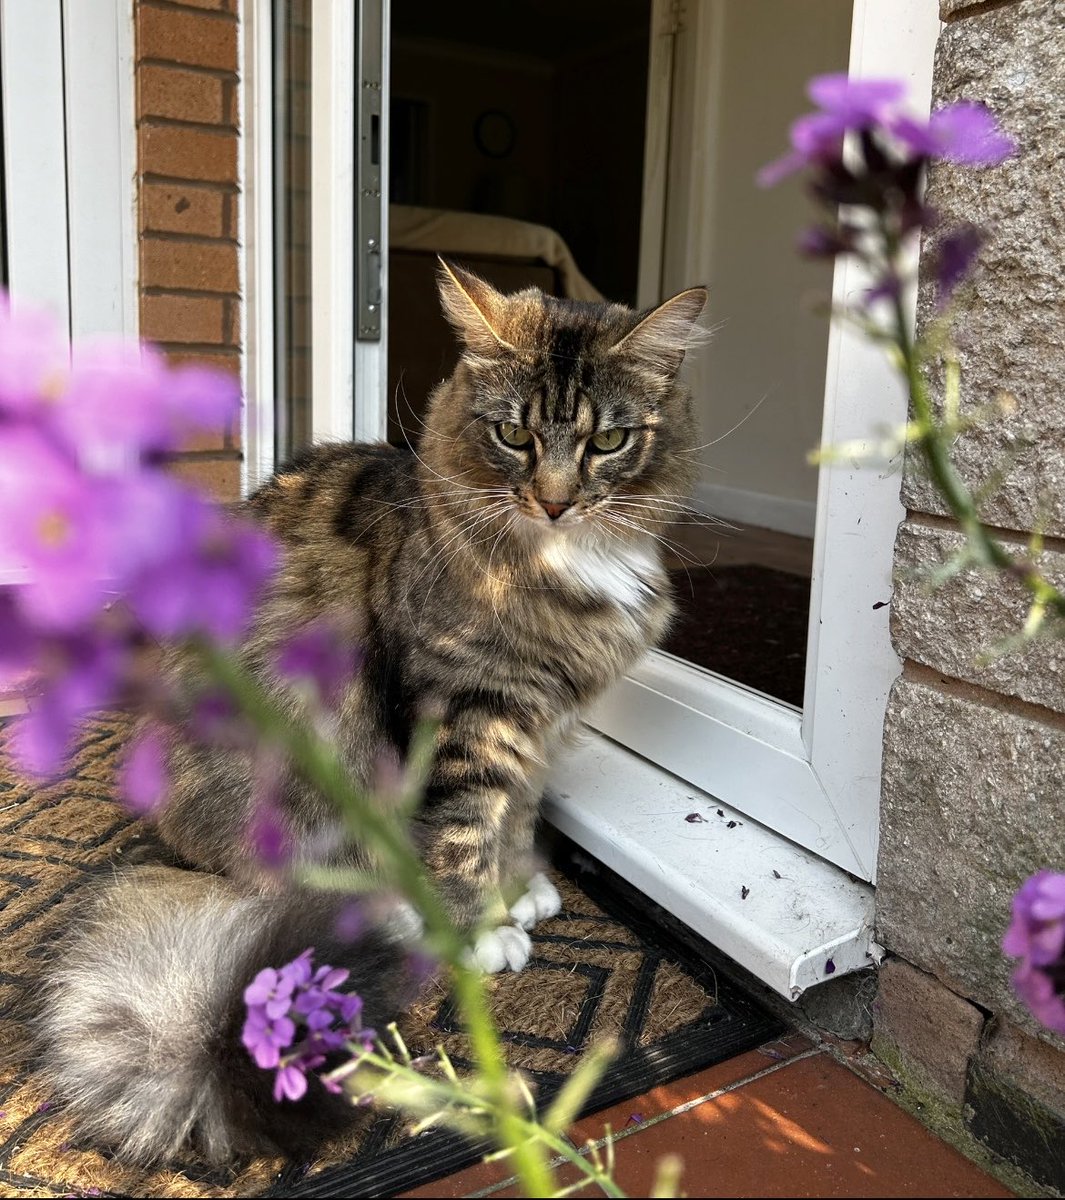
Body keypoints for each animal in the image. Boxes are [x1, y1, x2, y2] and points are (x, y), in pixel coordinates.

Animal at [37, 260, 705, 1161]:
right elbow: (464, 837)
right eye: (513, 436)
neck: (565, 563)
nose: (555, 501)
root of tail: (174, 849)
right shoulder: (464, 712)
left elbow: (517, 816)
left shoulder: (537, 722)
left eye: (607, 443)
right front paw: (481, 932)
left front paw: (520, 886)